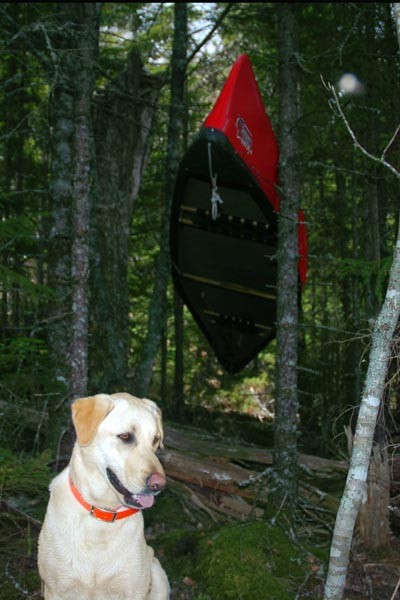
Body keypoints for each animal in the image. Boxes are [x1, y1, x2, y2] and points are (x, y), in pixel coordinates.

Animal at [37, 394, 169, 600]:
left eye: (155, 439)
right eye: (125, 436)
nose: (159, 484)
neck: (102, 513)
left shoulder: (133, 590)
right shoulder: (56, 589)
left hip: (157, 572)